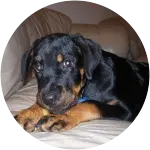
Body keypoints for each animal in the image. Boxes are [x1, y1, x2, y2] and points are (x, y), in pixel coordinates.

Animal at [14, 33, 148, 132]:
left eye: (67, 63)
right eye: (37, 66)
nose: (48, 99)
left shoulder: (127, 110)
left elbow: (90, 104)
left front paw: (60, 118)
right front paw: (28, 113)